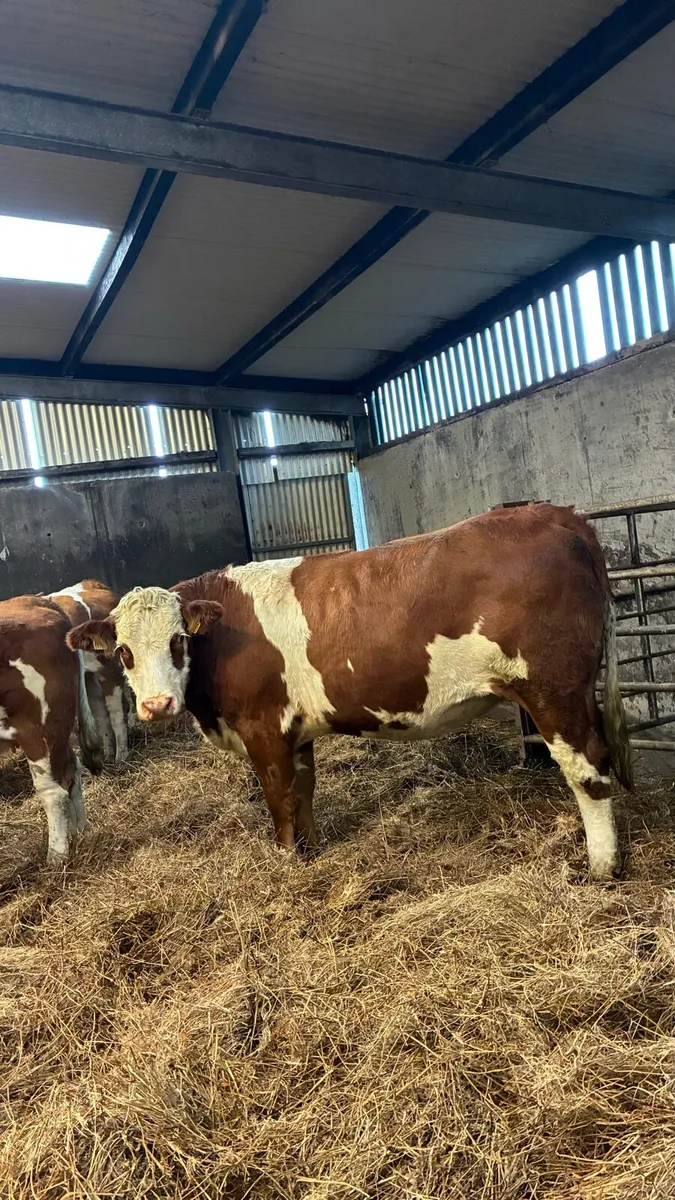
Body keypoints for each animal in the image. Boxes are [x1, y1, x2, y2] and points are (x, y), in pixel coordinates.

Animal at [0, 595, 103, 863]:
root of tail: (36, 600)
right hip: (58, 732)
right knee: (71, 771)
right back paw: (81, 832)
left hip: (39, 730)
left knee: (53, 793)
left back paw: (57, 856)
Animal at [68, 504, 634, 879]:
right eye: (124, 652)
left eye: (177, 640)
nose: (157, 705)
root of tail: (555, 514)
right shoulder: (295, 734)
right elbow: (303, 792)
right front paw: (310, 851)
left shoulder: (264, 728)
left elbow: (278, 797)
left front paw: (286, 862)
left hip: (553, 690)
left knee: (588, 770)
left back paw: (601, 866)